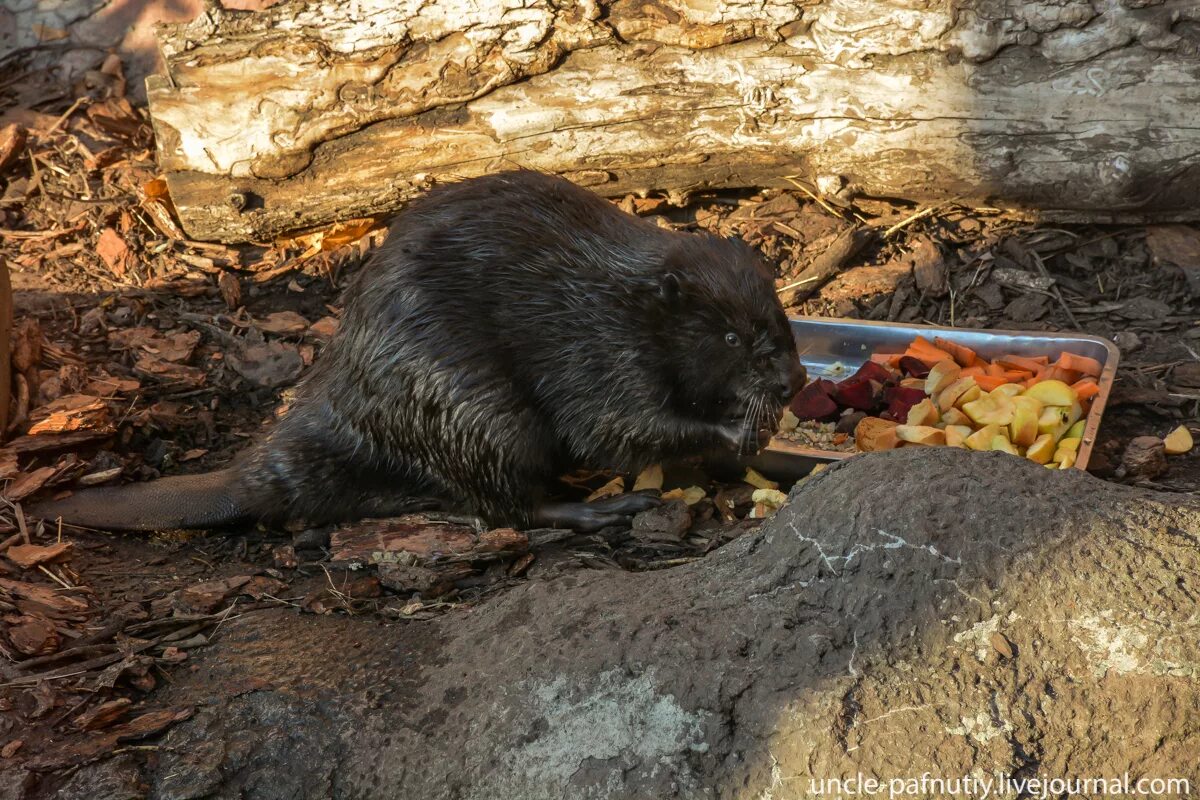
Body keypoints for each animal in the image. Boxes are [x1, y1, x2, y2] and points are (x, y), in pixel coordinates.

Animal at [30, 169, 806, 532]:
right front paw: (741, 429)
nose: (795, 381)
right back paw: (604, 509)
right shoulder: (599, 348)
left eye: (779, 320)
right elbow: (613, 426)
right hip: (479, 410)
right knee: (509, 506)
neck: (628, 300)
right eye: (731, 337)